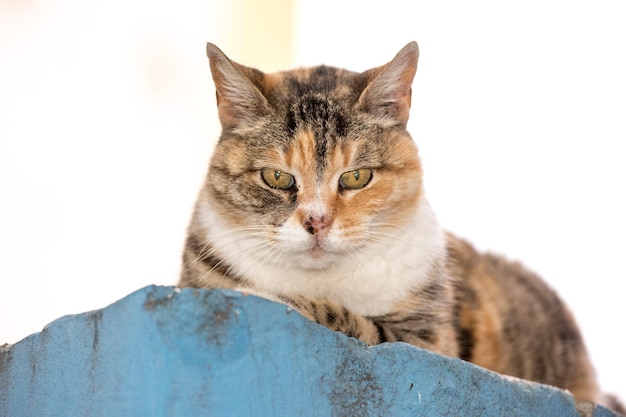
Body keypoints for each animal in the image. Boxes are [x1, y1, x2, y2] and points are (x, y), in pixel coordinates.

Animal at [178, 40, 620, 412]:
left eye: (357, 177)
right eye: (276, 177)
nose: (317, 222)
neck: (321, 280)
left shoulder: (429, 341)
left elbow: (354, 322)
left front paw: (279, 299)